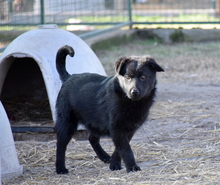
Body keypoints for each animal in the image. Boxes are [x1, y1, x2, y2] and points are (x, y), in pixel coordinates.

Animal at [54, 44, 163, 173]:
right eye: (127, 77)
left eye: (143, 77)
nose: (134, 92)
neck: (130, 102)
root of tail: (68, 77)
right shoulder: (117, 127)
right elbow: (126, 149)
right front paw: (131, 166)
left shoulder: (129, 129)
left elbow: (119, 148)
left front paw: (114, 163)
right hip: (67, 123)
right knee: (61, 145)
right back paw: (60, 168)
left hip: (95, 122)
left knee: (92, 138)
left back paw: (104, 156)